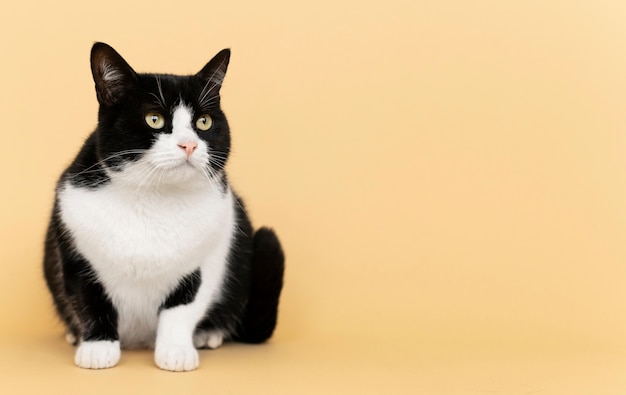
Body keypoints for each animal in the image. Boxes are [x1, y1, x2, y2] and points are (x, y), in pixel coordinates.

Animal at [43, 42, 286, 372]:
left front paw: (175, 351)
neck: (153, 199)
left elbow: (182, 308)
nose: (189, 145)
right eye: (154, 119)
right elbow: (89, 298)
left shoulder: (207, 257)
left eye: (203, 122)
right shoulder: (75, 246)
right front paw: (97, 347)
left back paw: (209, 333)